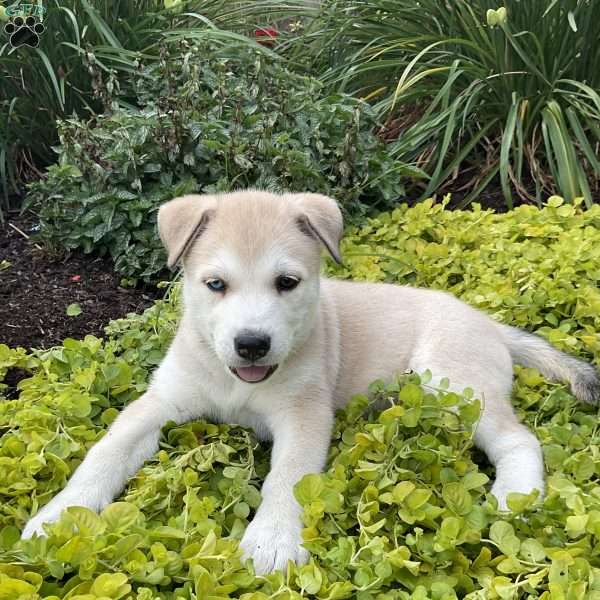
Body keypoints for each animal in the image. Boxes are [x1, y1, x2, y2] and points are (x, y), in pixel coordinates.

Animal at [21, 191, 596, 572]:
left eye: (287, 283)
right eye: (215, 284)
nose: (252, 344)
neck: (238, 382)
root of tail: (490, 325)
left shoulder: (304, 415)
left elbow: (289, 477)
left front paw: (272, 540)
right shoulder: (159, 403)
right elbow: (105, 454)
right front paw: (58, 517)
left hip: (454, 385)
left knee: (518, 439)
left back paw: (515, 494)